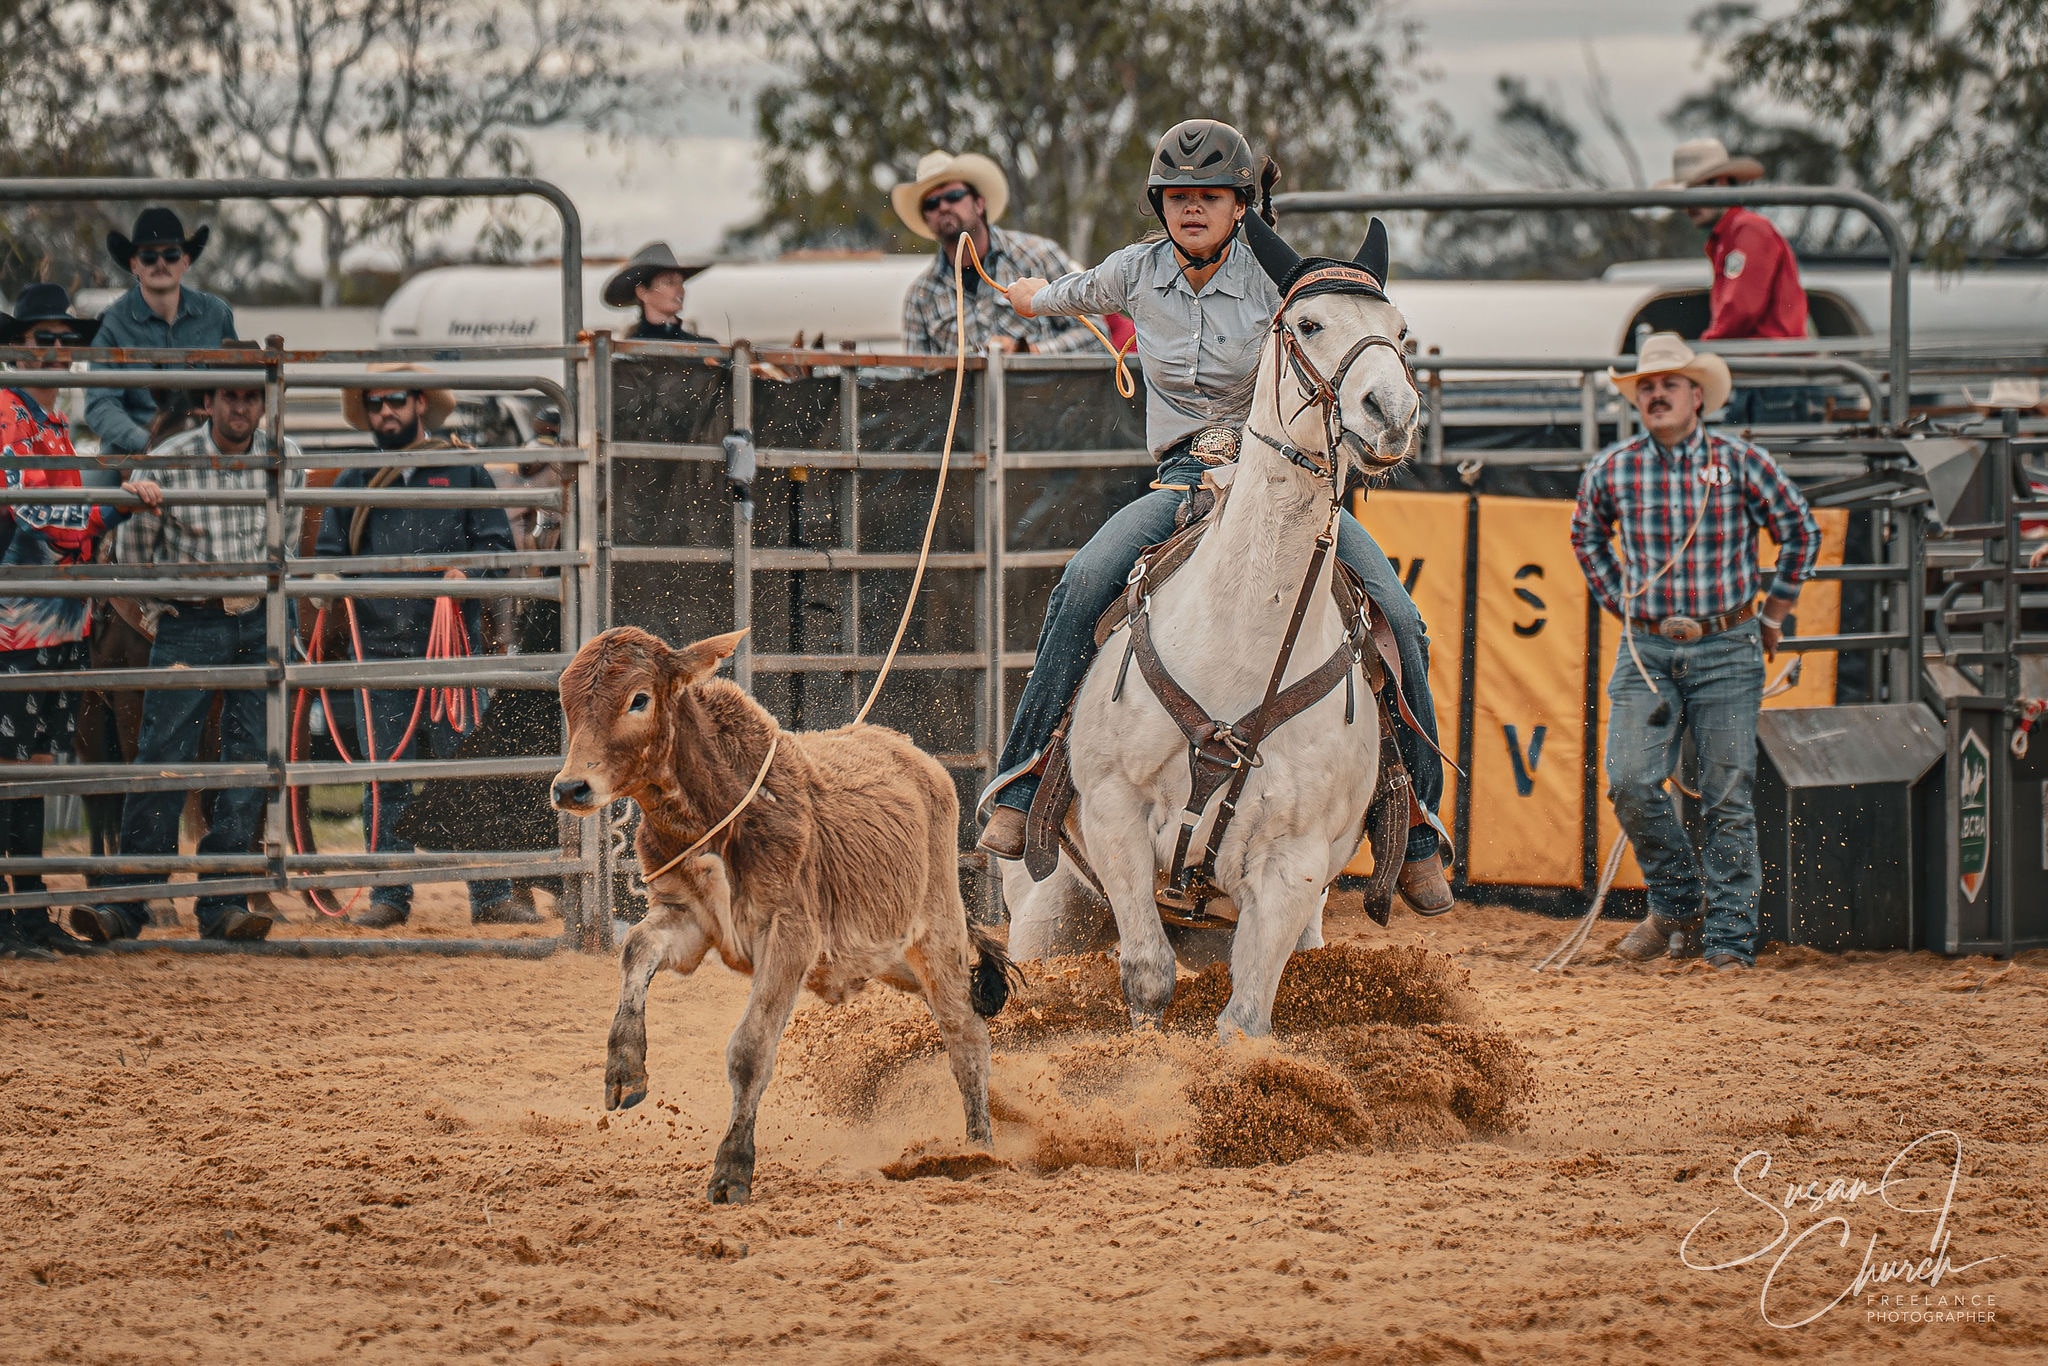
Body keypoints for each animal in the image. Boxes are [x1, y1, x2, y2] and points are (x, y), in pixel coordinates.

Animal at [551, 626, 1012, 1205]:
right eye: (566, 701)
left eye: (639, 698)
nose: (570, 788)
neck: (720, 811)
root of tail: (918, 760)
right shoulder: (686, 920)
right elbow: (636, 950)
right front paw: (624, 1069)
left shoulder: (789, 937)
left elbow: (750, 1050)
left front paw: (732, 1169)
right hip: (883, 957)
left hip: (936, 932)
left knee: (965, 1031)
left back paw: (980, 1148)